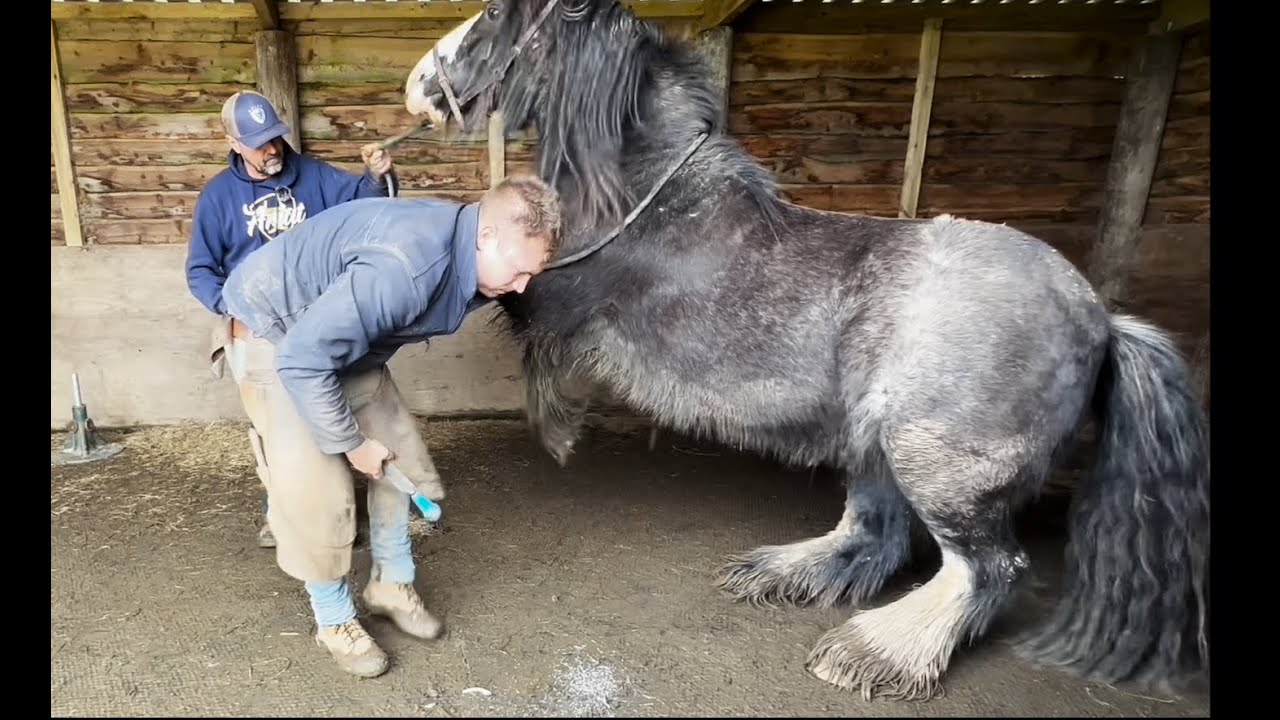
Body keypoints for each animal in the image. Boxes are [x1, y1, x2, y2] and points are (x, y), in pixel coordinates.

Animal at [399, 0, 1210, 701]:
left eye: (495, 13)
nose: (417, 87)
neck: (655, 199)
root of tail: (1103, 318)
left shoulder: (550, 294)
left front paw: (557, 431)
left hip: (934, 464)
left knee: (989, 570)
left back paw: (874, 653)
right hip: (874, 443)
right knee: (874, 534)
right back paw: (783, 574)